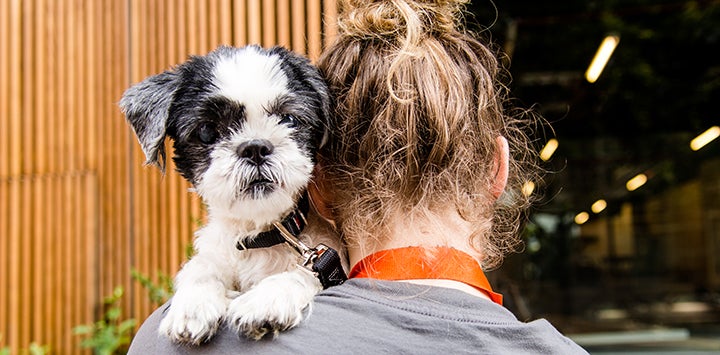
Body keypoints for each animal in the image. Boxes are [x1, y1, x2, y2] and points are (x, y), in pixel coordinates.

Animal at [119, 46, 340, 344]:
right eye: (206, 131)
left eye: (289, 119)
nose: (255, 147)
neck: (257, 236)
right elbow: (200, 268)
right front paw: (192, 305)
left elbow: (302, 273)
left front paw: (267, 300)